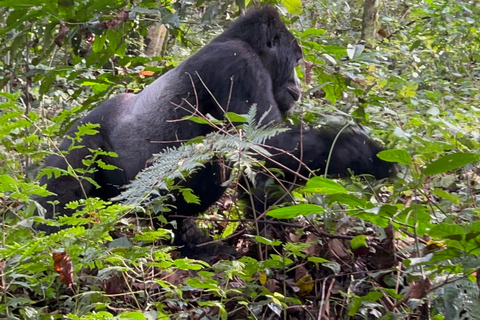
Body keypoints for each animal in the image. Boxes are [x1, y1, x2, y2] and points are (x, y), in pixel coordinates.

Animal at [35, 6, 392, 248]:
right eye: (296, 59)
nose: (299, 86)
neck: (241, 40)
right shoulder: (237, 63)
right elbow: (264, 147)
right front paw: (365, 153)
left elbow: (262, 165)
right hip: (77, 147)